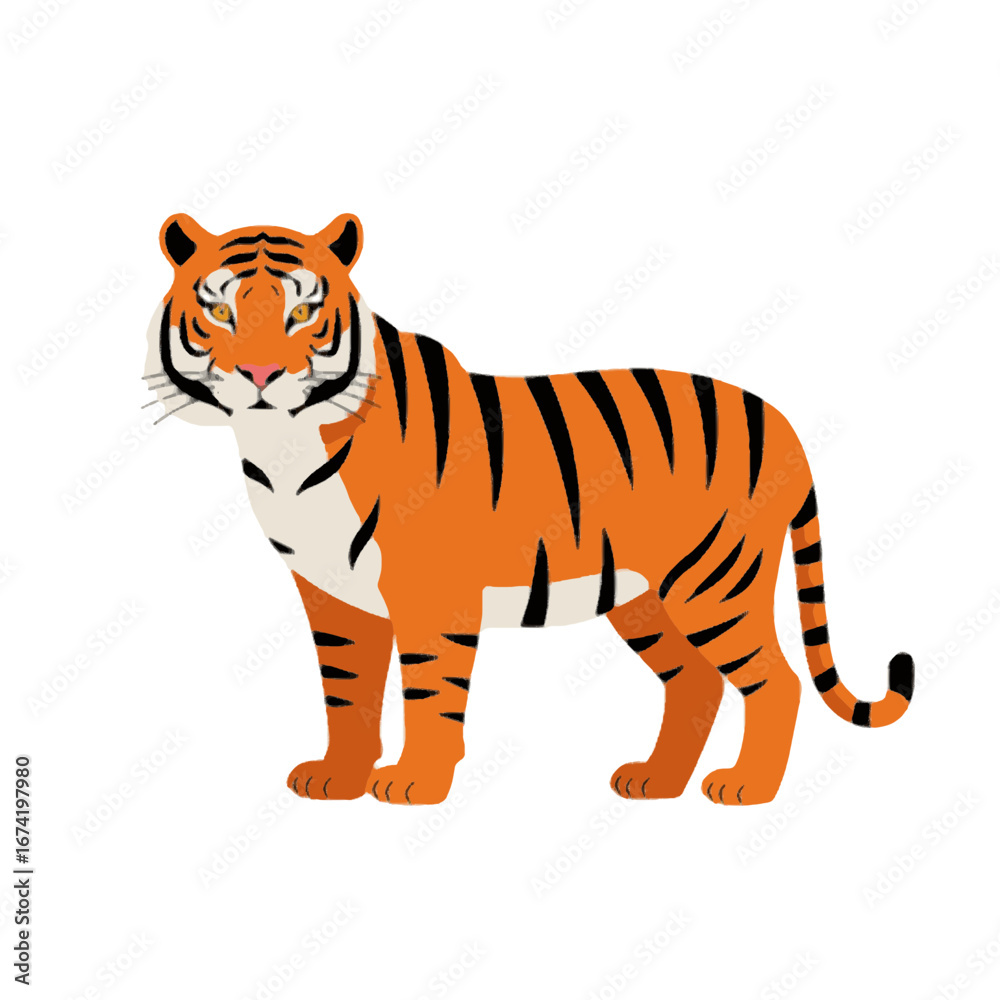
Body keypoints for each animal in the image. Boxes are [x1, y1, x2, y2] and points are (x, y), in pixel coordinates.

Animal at [144, 212, 914, 806]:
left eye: (301, 313)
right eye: (220, 311)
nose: (261, 375)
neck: (284, 447)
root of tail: (781, 418)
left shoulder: (430, 589)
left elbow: (430, 689)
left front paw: (415, 782)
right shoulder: (333, 593)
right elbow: (346, 690)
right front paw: (338, 777)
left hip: (715, 580)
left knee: (776, 682)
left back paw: (747, 787)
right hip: (647, 595)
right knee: (696, 681)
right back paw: (656, 781)